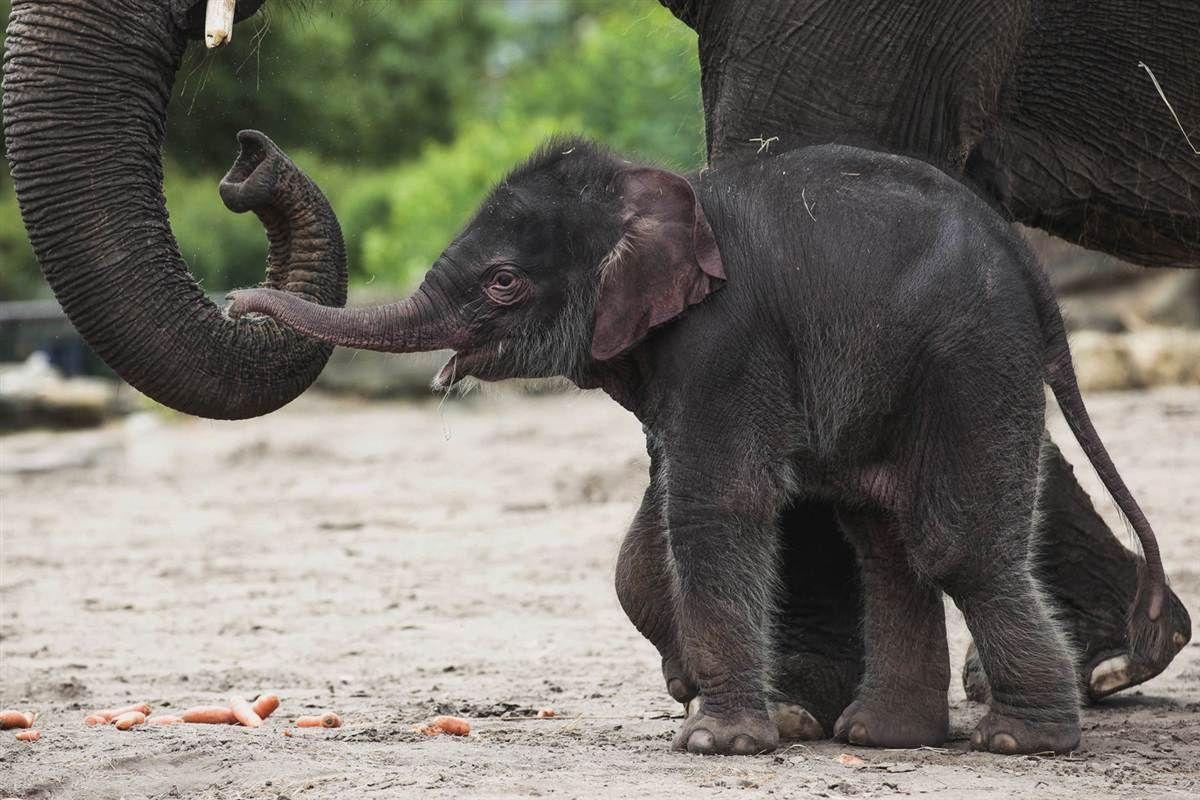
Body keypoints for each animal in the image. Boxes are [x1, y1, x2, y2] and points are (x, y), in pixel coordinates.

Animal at [225, 138, 1180, 755]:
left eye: (503, 282)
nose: (237, 303)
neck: (654, 193)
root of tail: (1034, 273)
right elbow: (664, 512)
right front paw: (712, 701)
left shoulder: (727, 339)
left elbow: (716, 501)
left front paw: (716, 741)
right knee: (884, 538)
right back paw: (882, 738)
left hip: (970, 361)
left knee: (953, 544)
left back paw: (1022, 743)